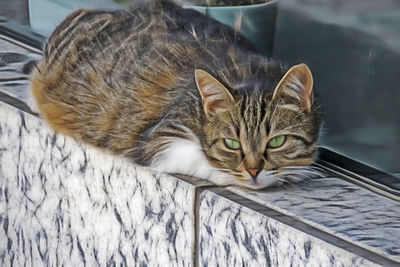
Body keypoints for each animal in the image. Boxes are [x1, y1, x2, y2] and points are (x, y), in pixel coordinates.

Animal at [29, 0, 322, 189]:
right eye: (231, 143)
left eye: (277, 141)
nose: (253, 171)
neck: (249, 71)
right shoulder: (161, 138)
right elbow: (199, 158)